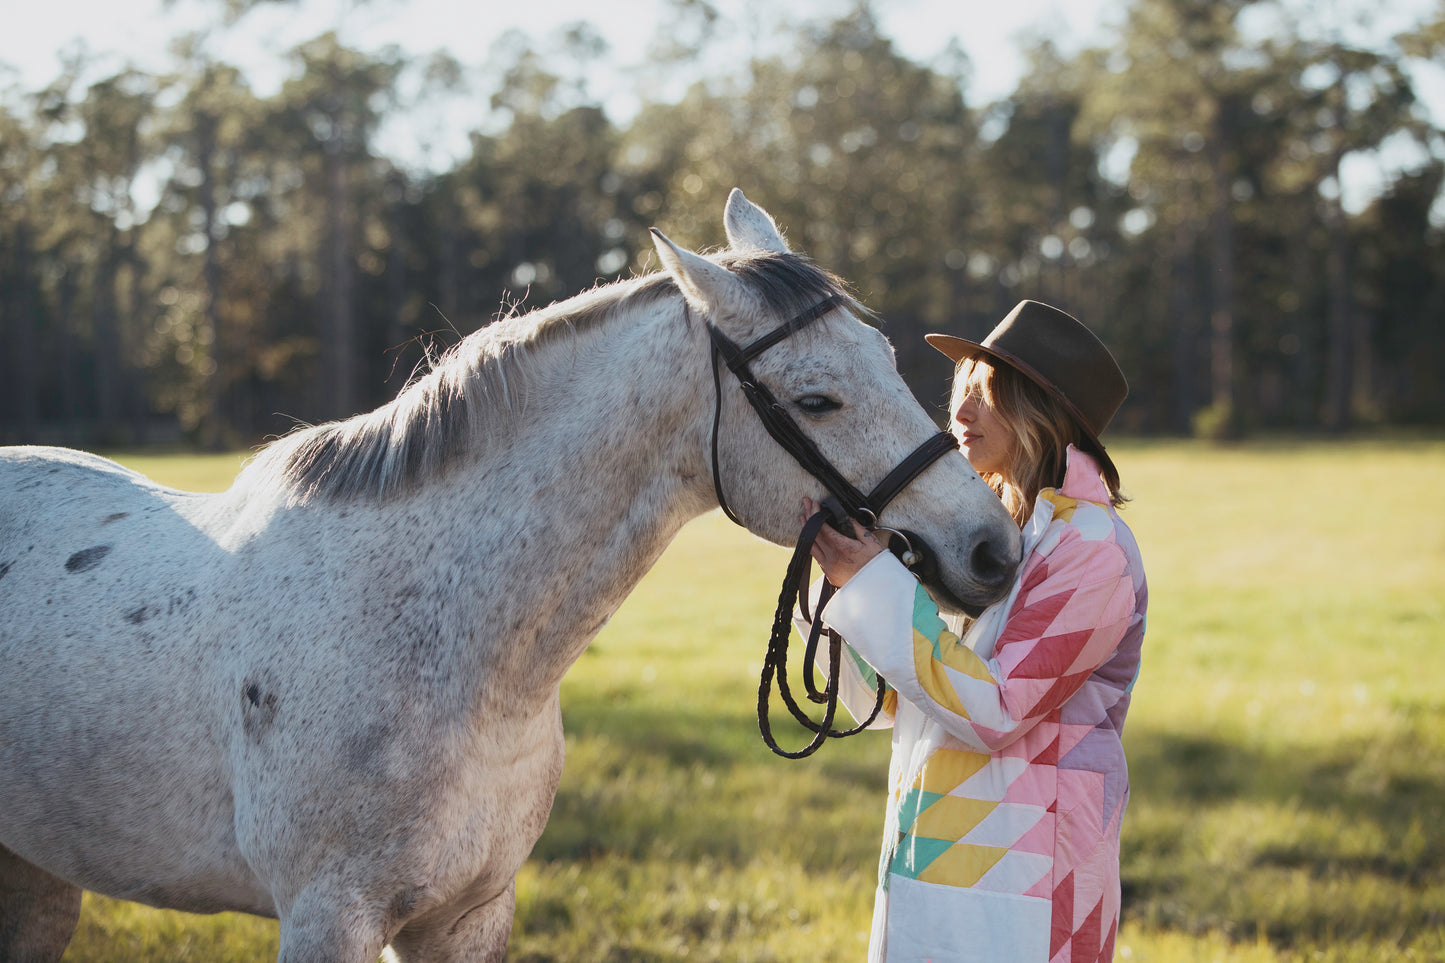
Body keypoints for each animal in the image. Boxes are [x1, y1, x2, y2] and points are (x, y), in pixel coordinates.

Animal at [0, 189, 1023, 960]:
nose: (991, 549)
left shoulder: (472, 914)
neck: (445, 655)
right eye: (816, 398)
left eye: (886, 358)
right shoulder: (328, 918)